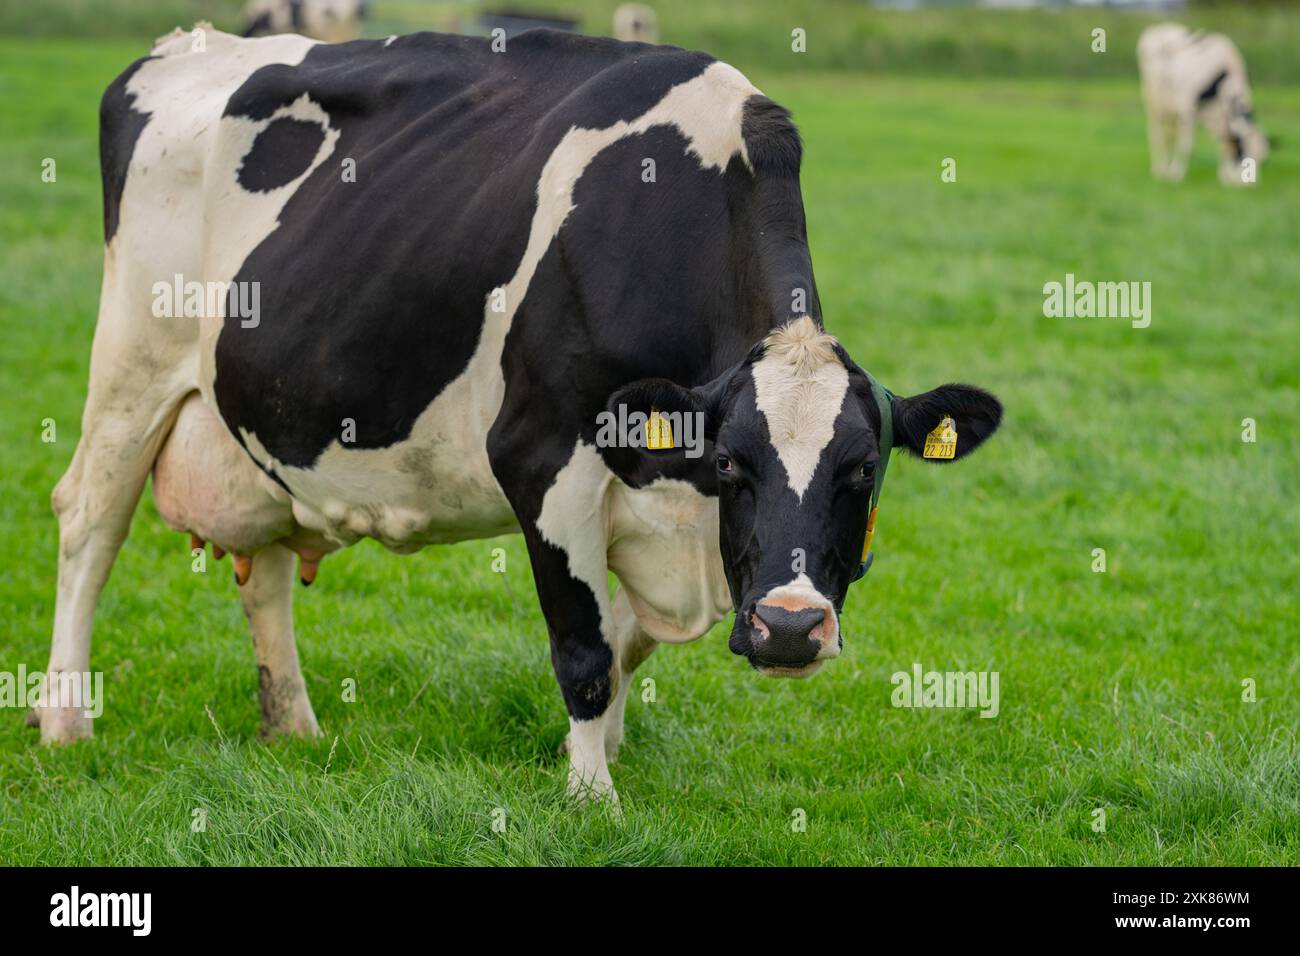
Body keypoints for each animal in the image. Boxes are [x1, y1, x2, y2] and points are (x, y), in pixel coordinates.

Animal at [33, 25, 1002, 804]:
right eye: (731, 462)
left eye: (863, 469)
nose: (793, 627)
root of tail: (187, 43)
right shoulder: (544, 456)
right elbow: (583, 646)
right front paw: (591, 796)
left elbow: (624, 643)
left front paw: (603, 753)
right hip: (131, 366)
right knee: (89, 523)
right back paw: (65, 723)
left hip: (256, 419)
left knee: (263, 564)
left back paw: (294, 728)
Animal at [1137, 23, 1270, 185]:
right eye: (1241, 151)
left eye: (1263, 160)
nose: (1248, 185)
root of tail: (1158, 27)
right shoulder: (1186, 108)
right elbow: (1187, 145)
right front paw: (1176, 175)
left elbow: (1222, 143)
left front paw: (1223, 175)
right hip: (1153, 101)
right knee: (1156, 133)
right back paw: (1160, 169)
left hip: (1171, 106)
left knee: (1169, 135)